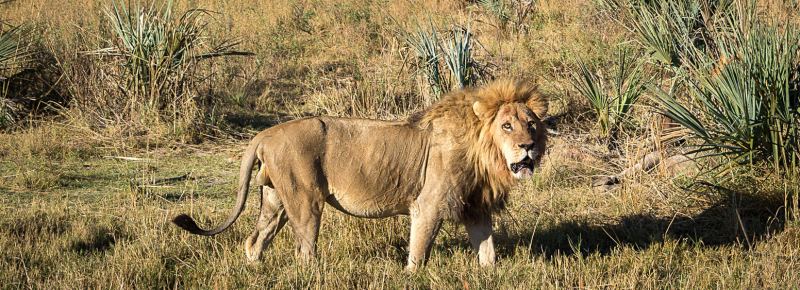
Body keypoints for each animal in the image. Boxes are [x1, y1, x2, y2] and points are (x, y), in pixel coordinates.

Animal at [173, 78, 552, 270]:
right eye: (506, 126)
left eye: (531, 124)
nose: (528, 147)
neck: (485, 156)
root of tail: (264, 134)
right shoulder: (428, 204)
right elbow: (419, 250)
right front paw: (411, 276)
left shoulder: (476, 206)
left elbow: (487, 248)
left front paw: (490, 274)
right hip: (305, 200)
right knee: (304, 252)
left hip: (275, 199)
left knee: (254, 241)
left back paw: (255, 270)